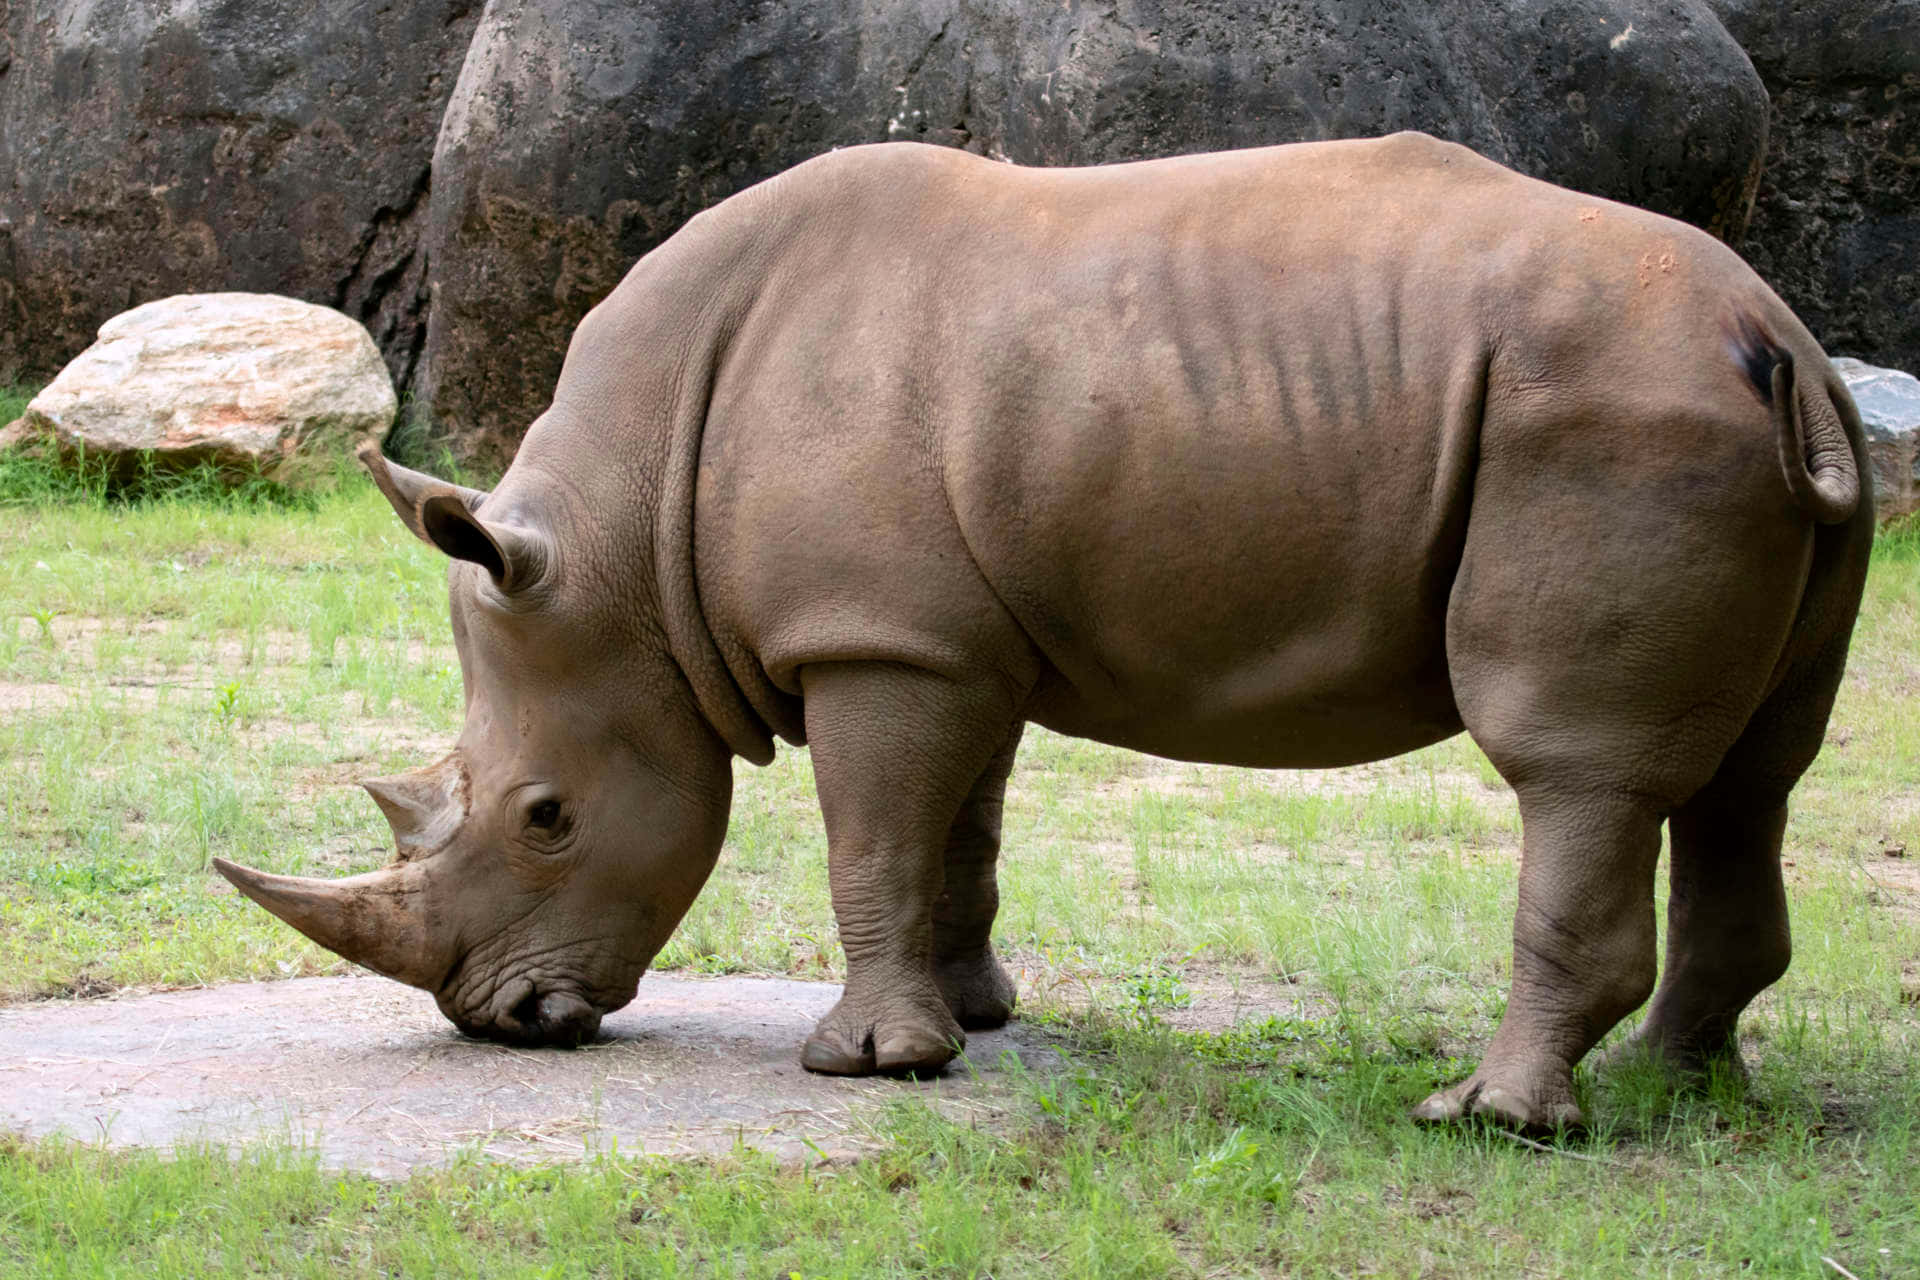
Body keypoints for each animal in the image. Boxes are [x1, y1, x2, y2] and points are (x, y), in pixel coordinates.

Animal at [216, 133, 1872, 1133]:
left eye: (548, 817)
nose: (507, 1024)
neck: (626, 554)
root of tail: (1776, 335)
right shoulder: (944, 637)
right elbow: (957, 832)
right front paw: (967, 1023)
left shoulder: (875, 640)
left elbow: (869, 839)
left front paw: (864, 1067)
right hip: (1767, 433)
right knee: (1752, 775)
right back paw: (1681, 1092)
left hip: (1602, 423)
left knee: (1576, 769)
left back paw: (1492, 1123)